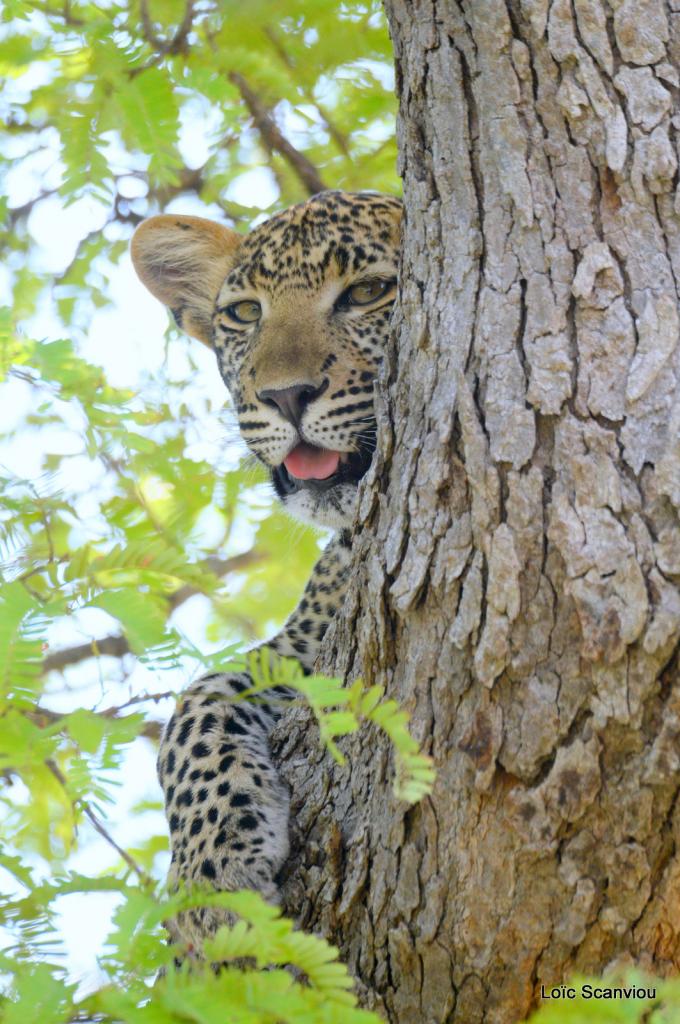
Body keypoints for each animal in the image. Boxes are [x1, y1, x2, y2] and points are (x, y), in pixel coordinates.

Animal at [130, 190, 401, 950]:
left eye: (368, 292)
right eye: (246, 313)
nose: (286, 396)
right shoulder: (299, 649)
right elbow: (194, 705)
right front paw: (206, 878)